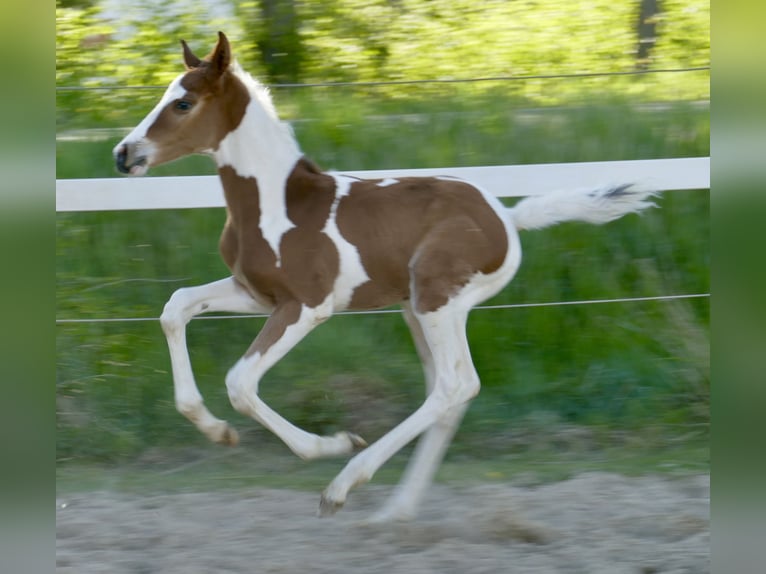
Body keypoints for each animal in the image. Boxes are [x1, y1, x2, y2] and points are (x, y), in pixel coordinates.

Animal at [113, 32, 657, 521]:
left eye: (183, 102)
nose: (123, 154)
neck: (278, 204)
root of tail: (507, 217)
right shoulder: (256, 294)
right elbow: (176, 308)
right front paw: (215, 430)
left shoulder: (307, 306)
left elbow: (241, 382)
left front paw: (331, 443)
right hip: (417, 309)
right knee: (450, 391)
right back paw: (396, 510)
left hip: (438, 300)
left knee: (454, 385)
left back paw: (344, 484)